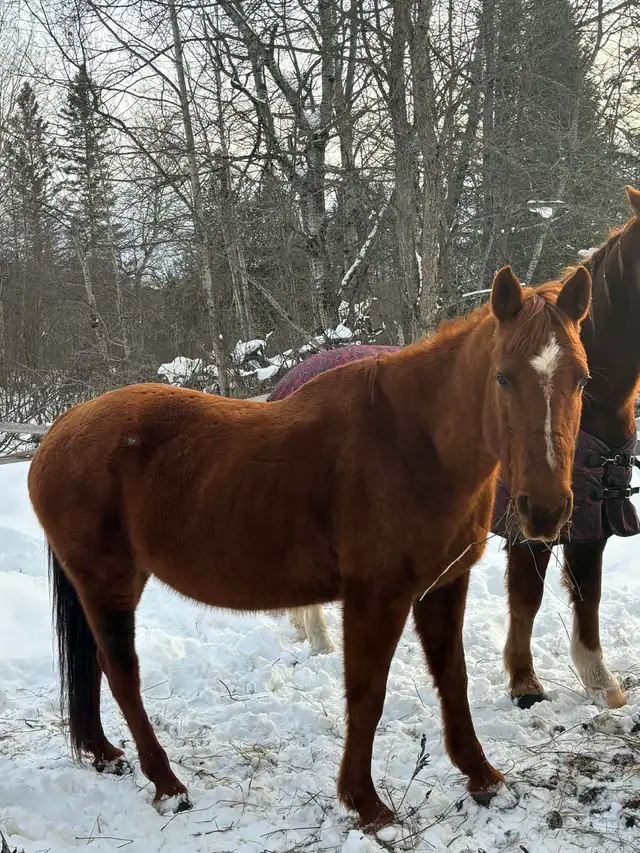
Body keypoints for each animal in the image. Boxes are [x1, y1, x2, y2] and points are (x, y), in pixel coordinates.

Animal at [28, 265, 591, 829]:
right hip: (109, 583)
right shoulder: (376, 596)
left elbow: (453, 678)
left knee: (96, 664)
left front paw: (483, 779)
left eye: (582, 378)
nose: (545, 510)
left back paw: (104, 754)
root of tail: (60, 430)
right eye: (503, 377)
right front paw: (366, 804)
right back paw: (168, 785)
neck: (412, 445)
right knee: (122, 672)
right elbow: (367, 694)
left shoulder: (444, 584)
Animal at [497, 185, 640, 710]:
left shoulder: (593, 515)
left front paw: (600, 682)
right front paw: (524, 684)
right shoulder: (527, 521)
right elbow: (527, 597)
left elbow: (588, 591)